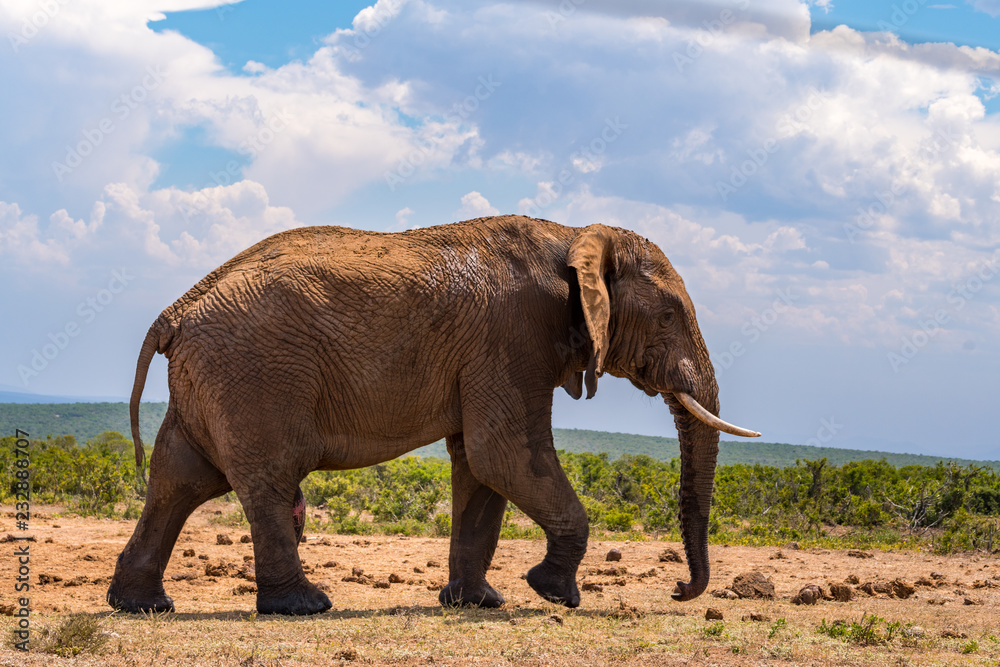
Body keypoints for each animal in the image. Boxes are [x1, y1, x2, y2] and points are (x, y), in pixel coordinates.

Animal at [107, 215, 759, 616]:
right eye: (670, 316)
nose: (678, 590)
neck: (573, 234)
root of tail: (176, 310)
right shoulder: (512, 338)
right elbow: (505, 454)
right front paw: (554, 595)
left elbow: (480, 465)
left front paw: (478, 603)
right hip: (255, 375)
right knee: (262, 480)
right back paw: (304, 607)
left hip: (214, 379)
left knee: (178, 480)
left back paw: (141, 605)